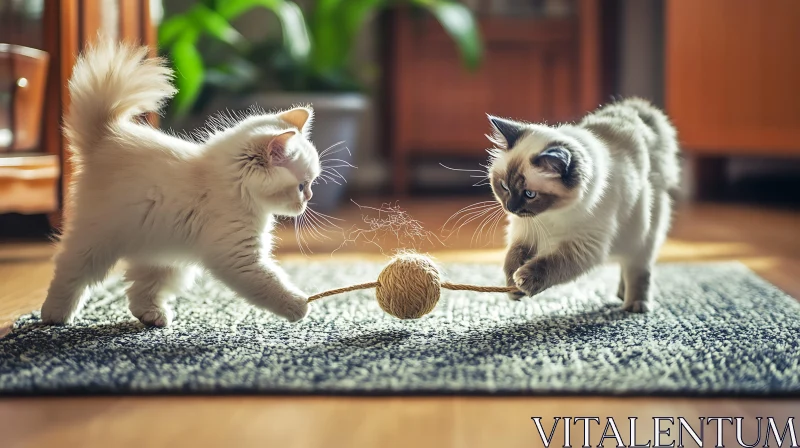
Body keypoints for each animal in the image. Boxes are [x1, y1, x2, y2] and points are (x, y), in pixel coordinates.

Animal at [41, 39, 322, 326]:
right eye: (302, 186)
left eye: (310, 185)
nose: (309, 198)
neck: (231, 186)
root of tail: (107, 135)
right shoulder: (238, 256)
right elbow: (270, 283)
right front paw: (300, 304)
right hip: (98, 241)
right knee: (69, 271)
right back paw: (55, 314)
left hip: (164, 256)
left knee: (139, 292)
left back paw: (154, 317)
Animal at [488, 98, 680, 314]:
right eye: (504, 186)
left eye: (530, 194)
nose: (510, 207)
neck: (551, 215)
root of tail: (638, 109)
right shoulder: (525, 233)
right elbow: (512, 258)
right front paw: (512, 287)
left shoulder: (583, 245)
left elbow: (549, 264)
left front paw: (524, 280)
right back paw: (622, 293)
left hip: (640, 235)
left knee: (637, 268)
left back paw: (635, 304)